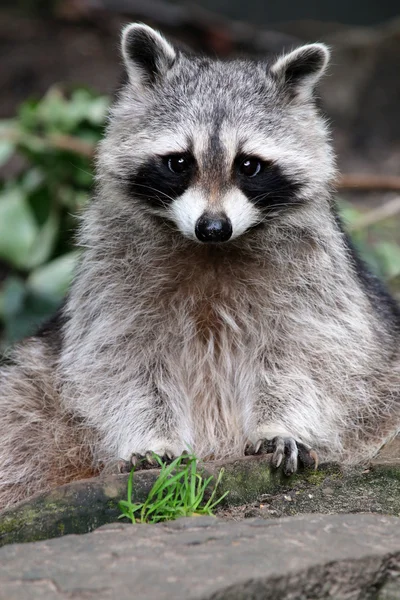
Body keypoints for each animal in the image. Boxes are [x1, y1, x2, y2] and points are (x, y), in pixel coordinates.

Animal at [0, 23, 400, 508]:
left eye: (248, 165)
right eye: (179, 162)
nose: (213, 227)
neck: (211, 252)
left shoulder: (315, 280)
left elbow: (307, 355)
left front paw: (280, 424)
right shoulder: (111, 278)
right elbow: (120, 363)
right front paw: (152, 438)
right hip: (37, 388)